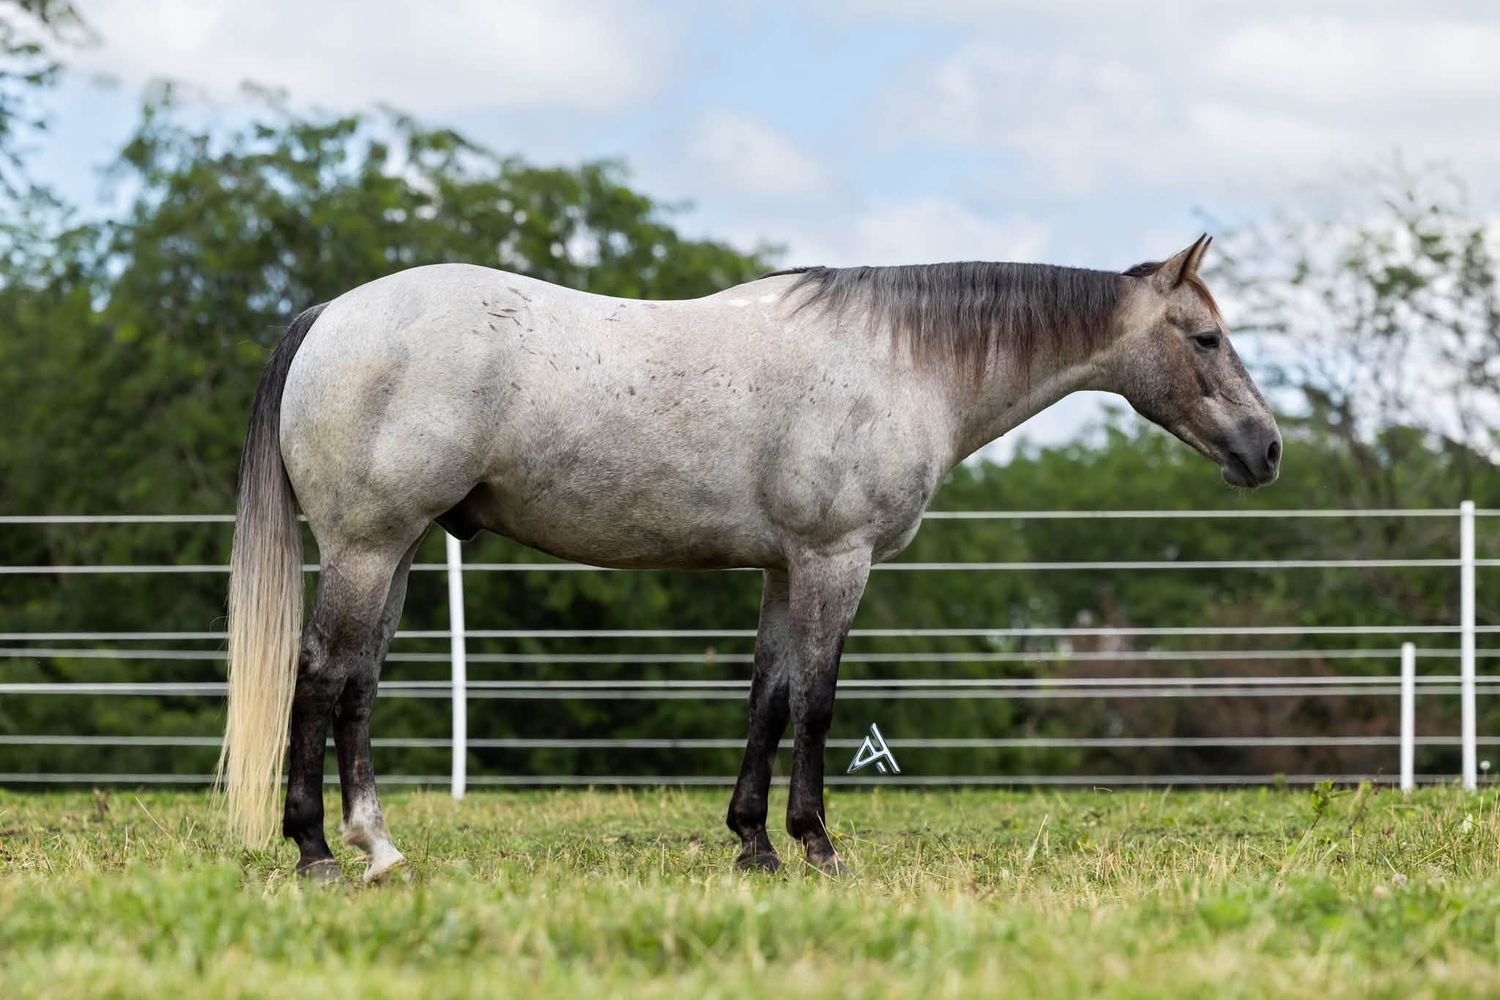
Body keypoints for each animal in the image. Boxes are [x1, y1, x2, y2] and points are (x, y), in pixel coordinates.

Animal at [218, 234, 1280, 882]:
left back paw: (378, 847)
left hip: (391, 554)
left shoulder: (782, 570)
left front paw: (753, 845)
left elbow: (768, 698)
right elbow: (816, 702)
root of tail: (330, 316)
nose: (1267, 450)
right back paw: (317, 850)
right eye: (1205, 337)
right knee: (323, 677)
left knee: (357, 688)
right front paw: (817, 844)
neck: (899, 362)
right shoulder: (834, 562)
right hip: (367, 549)